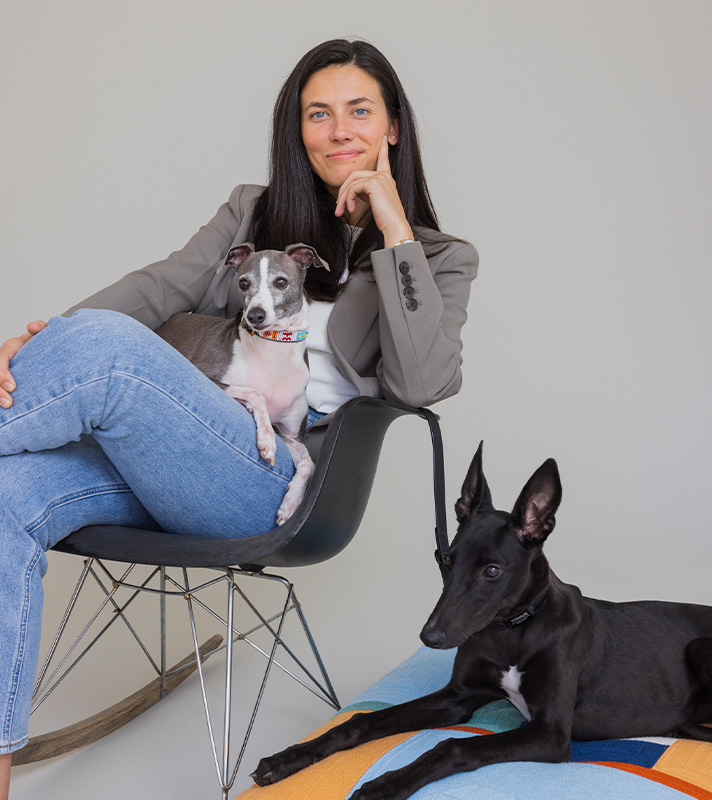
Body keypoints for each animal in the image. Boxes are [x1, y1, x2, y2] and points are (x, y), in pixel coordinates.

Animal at [156, 244, 328, 524]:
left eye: (281, 282)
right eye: (244, 283)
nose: (255, 315)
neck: (273, 349)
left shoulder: (292, 436)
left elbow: (309, 464)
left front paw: (291, 503)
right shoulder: (204, 373)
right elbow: (257, 393)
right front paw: (266, 438)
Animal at [254, 444, 712, 800]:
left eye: (492, 571)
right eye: (446, 559)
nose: (430, 636)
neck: (512, 631)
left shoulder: (551, 732)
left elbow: (453, 747)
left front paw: (385, 784)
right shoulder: (458, 697)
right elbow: (362, 720)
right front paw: (287, 758)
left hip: (698, 647)